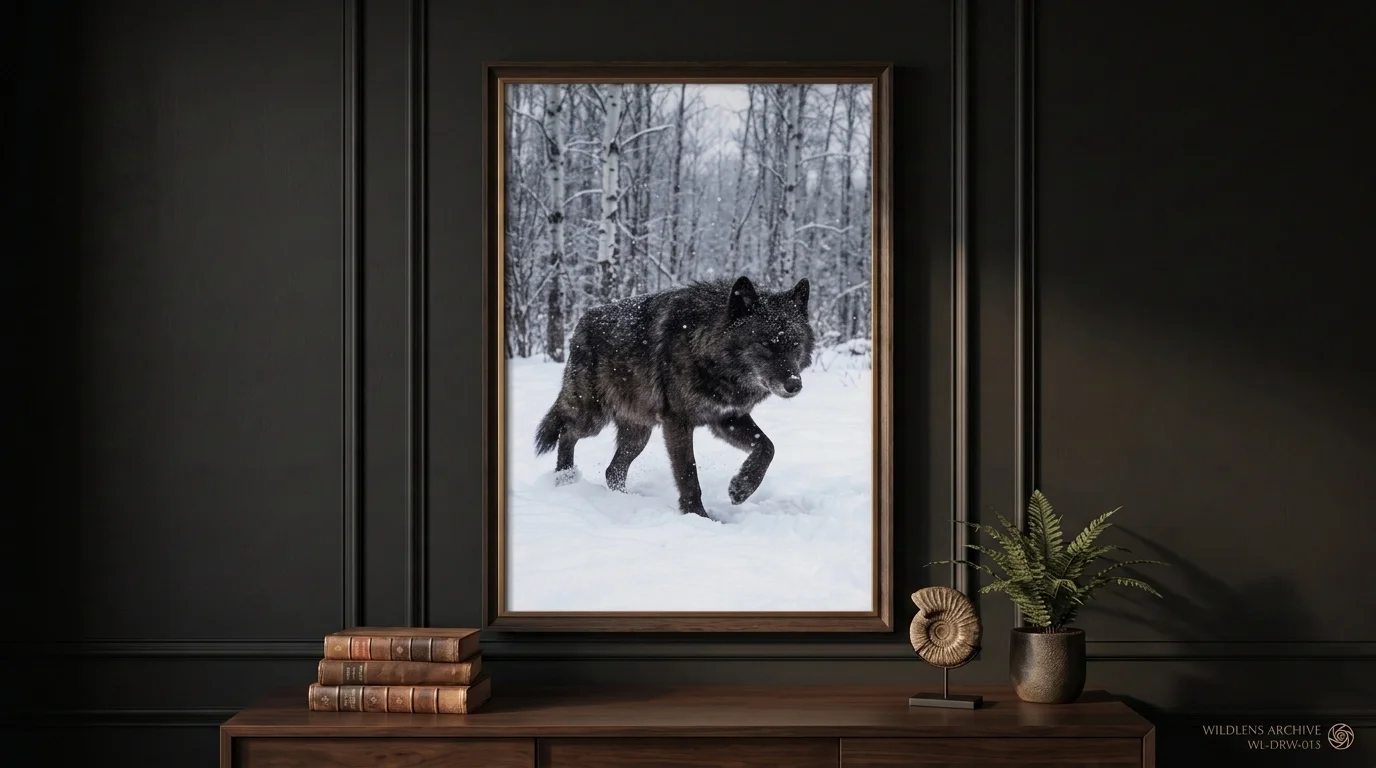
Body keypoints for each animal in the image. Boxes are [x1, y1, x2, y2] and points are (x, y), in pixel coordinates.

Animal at [534, 275, 816, 518]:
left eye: (795, 344)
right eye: (765, 344)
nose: (794, 384)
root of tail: (581, 322)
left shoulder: (727, 418)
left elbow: (767, 447)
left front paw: (741, 489)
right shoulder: (678, 423)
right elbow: (688, 473)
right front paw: (698, 516)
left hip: (639, 435)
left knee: (613, 470)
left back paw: (623, 500)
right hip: (591, 417)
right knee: (567, 433)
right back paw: (565, 478)